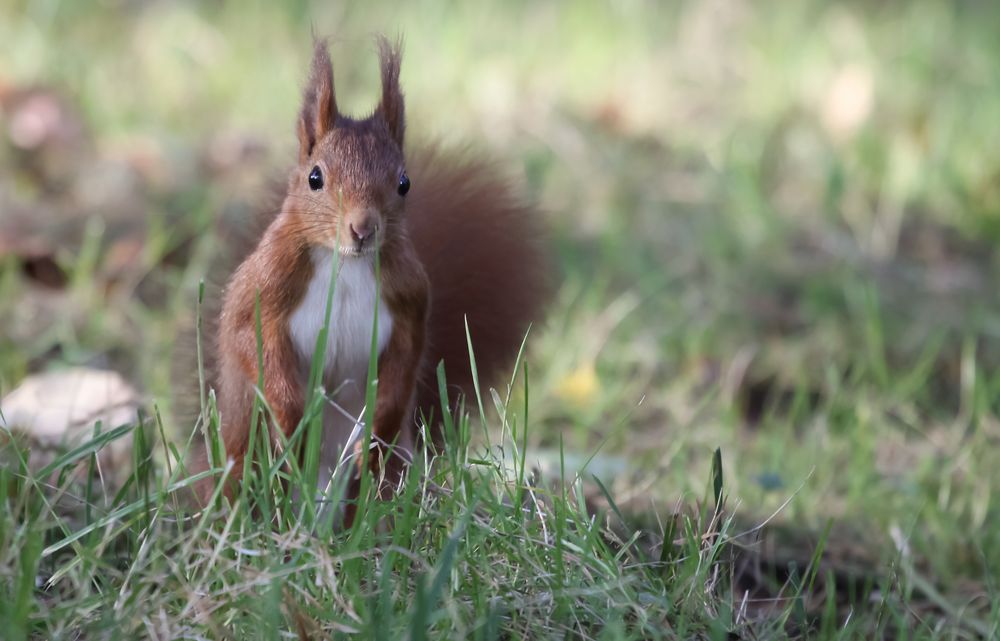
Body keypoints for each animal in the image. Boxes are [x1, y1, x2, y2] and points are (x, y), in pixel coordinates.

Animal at [196, 37, 552, 508]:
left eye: (404, 183)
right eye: (314, 178)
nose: (363, 228)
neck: (346, 264)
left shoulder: (410, 302)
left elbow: (404, 366)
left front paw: (375, 438)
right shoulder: (262, 292)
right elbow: (251, 344)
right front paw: (293, 425)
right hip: (242, 464)